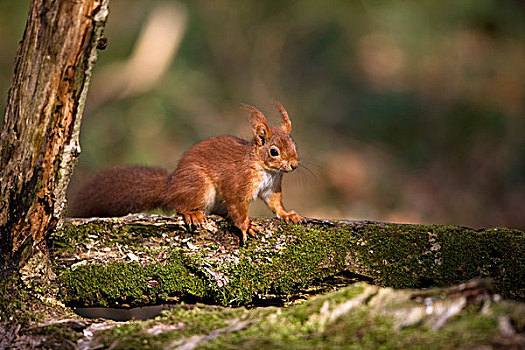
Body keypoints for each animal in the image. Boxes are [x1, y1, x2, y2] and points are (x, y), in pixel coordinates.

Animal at [70, 102, 308, 242]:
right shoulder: (238, 182)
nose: (294, 165)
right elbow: (237, 204)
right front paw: (245, 225)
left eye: (294, 144)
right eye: (274, 151)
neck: (264, 169)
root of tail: (168, 187)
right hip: (199, 186)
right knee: (177, 205)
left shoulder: (271, 187)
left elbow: (275, 204)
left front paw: (288, 214)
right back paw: (191, 213)